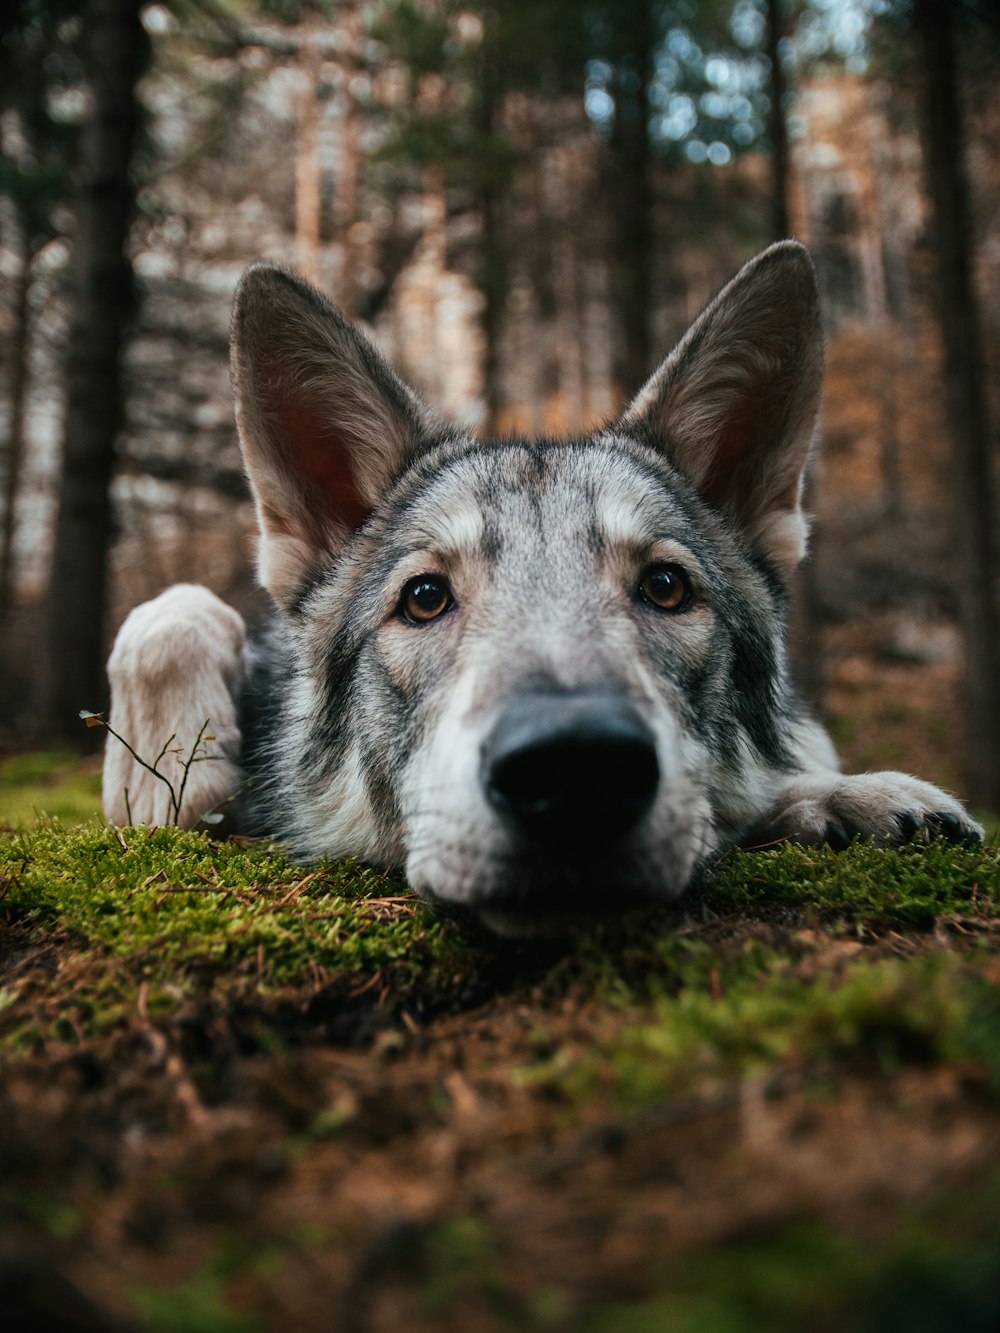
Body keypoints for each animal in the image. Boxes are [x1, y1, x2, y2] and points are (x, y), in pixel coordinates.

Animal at [104, 245, 986, 938]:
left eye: (665, 586)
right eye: (425, 598)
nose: (575, 767)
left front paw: (844, 796)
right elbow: (168, 614)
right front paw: (166, 773)